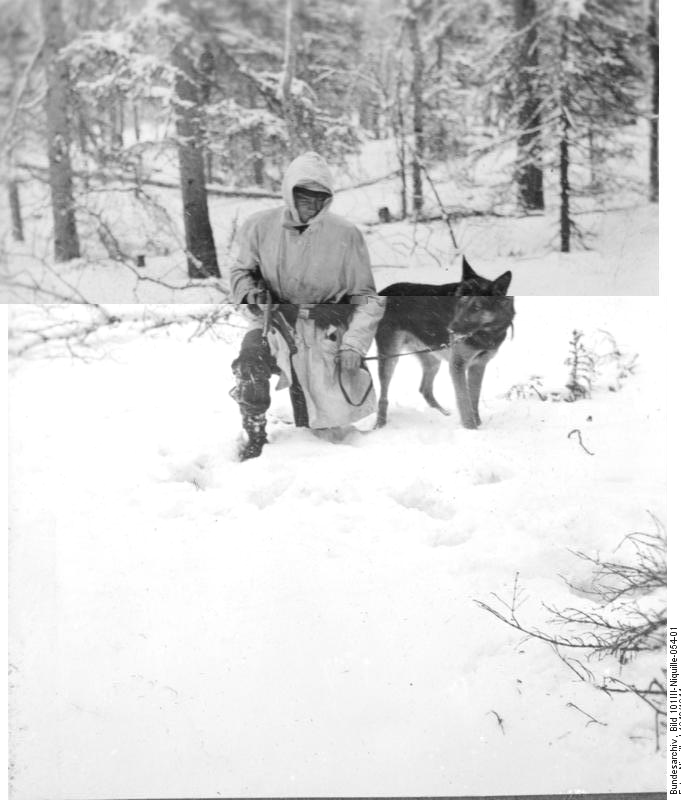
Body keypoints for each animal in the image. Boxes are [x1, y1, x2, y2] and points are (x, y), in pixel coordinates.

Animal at [374, 260, 512, 428]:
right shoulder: (458, 365)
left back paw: (444, 414)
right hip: (390, 357)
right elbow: (464, 400)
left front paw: (477, 423)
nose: (451, 328)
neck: (484, 332)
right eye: (459, 303)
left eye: (476, 307)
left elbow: (473, 398)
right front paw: (471, 428)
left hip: (432, 359)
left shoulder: (478, 365)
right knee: (383, 396)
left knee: (424, 389)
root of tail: (381, 292)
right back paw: (380, 424)